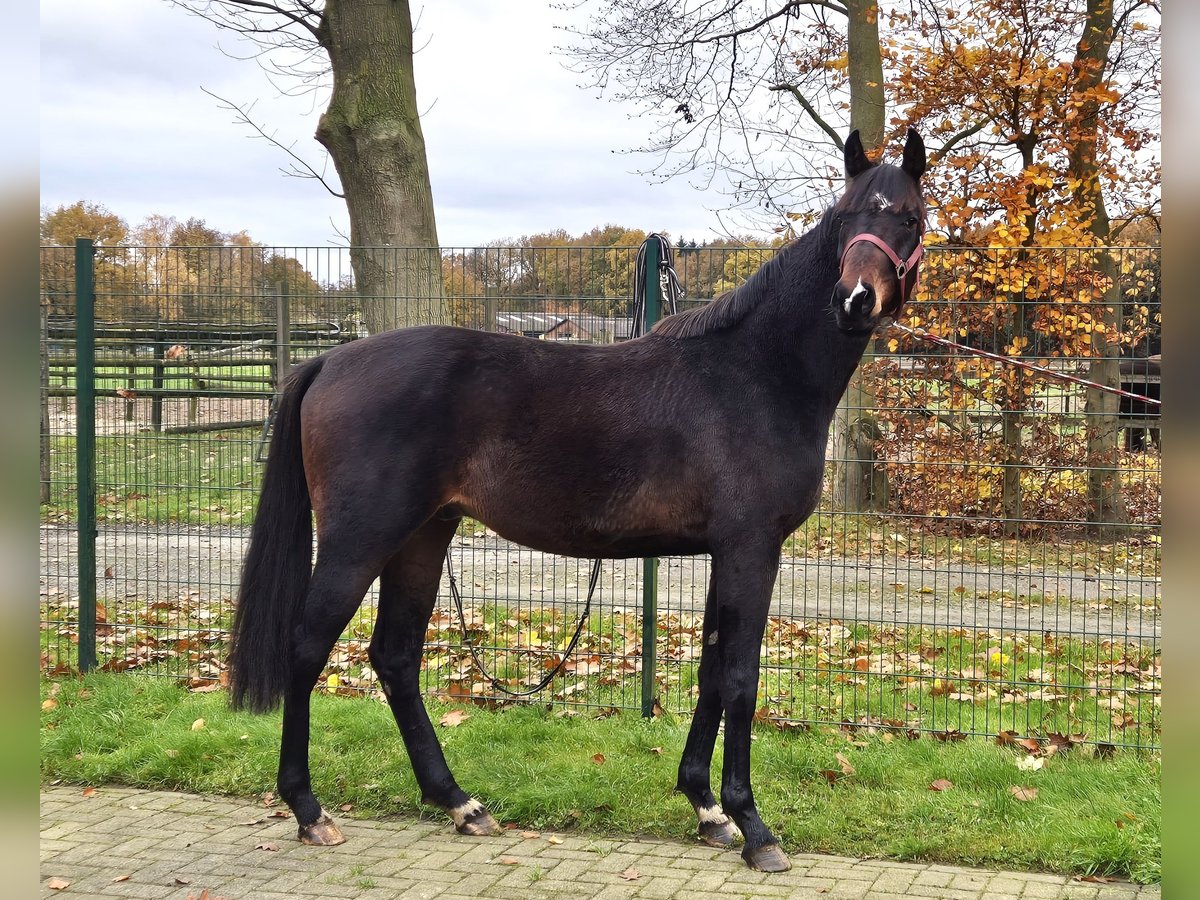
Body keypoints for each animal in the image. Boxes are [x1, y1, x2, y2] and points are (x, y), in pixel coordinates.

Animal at [229, 127, 931, 873]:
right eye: (847, 217)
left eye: (909, 219)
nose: (854, 299)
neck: (755, 372)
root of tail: (330, 361)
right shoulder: (751, 547)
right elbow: (741, 677)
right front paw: (754, 828)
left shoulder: (728, 551)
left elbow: (713, 671)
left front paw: (707, 808)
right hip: (360, 539)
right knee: (307, 647)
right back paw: (309, 809)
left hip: (423, 534)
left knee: (395, 657)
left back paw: (459, 803)